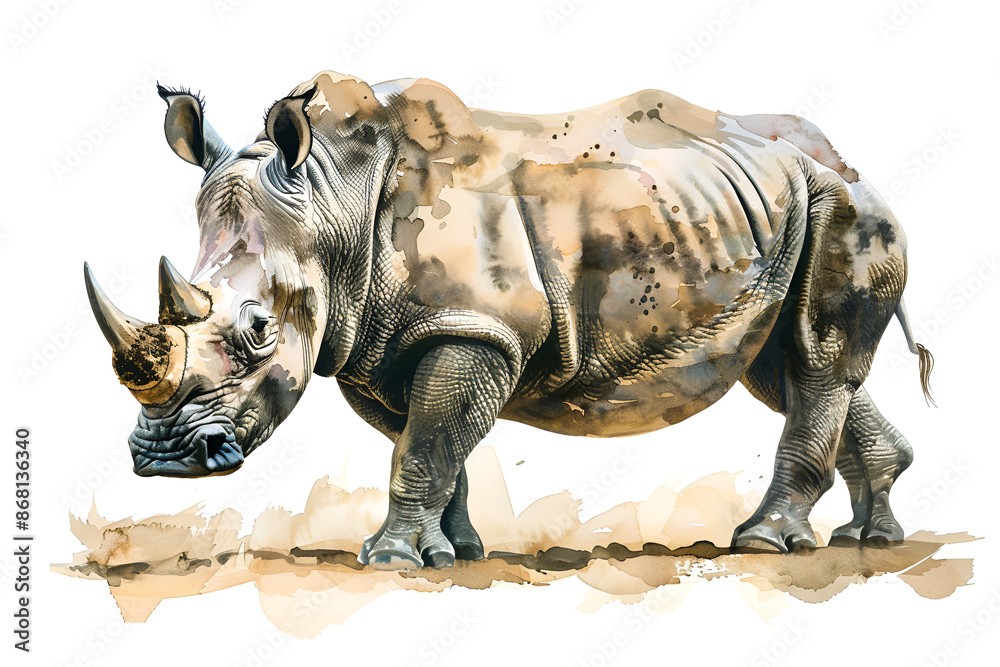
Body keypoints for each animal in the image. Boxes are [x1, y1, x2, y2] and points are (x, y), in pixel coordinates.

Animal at [84, 70, 933, 570]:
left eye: (258, 328)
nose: (162, 459)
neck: (331, 197)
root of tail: (847, 161)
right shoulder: (382, 339)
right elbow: (432, 442)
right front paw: (454, 551)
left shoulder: (469, 325)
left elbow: (424, 444)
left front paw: (391, 559)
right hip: (772, 211)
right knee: (784, 366)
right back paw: (870, 537)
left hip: (846, 209)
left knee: (813, 362)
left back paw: (763, 542)